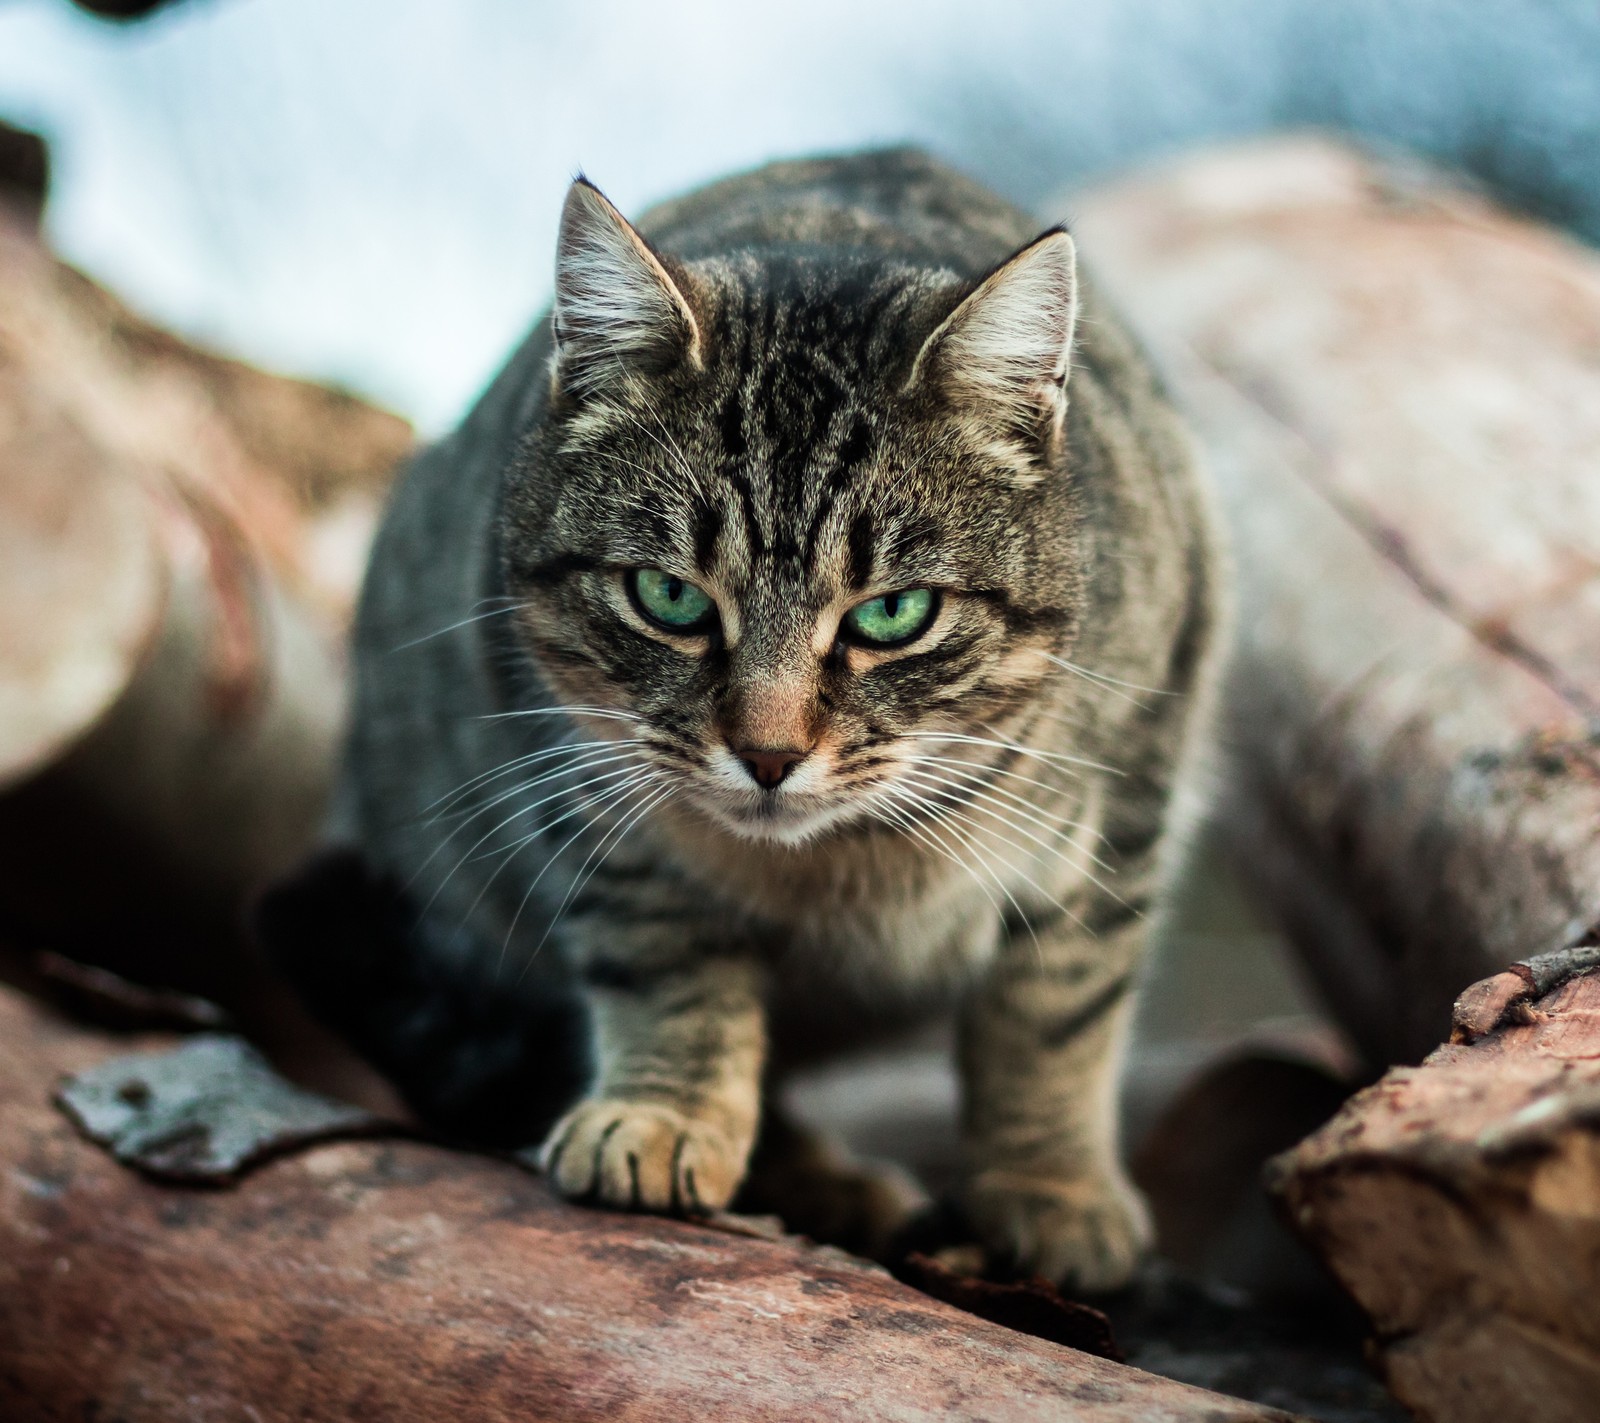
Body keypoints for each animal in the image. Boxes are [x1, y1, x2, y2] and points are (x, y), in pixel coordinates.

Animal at [262, 144, 1216, 1286]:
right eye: (669, 597)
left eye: (892, 612)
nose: (767, 753)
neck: (841, 871)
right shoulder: (583, 786)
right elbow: (670, 964)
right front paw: (666, 1114)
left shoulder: (1133, 783)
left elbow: (1056, 1007)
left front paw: (1050, 1184)